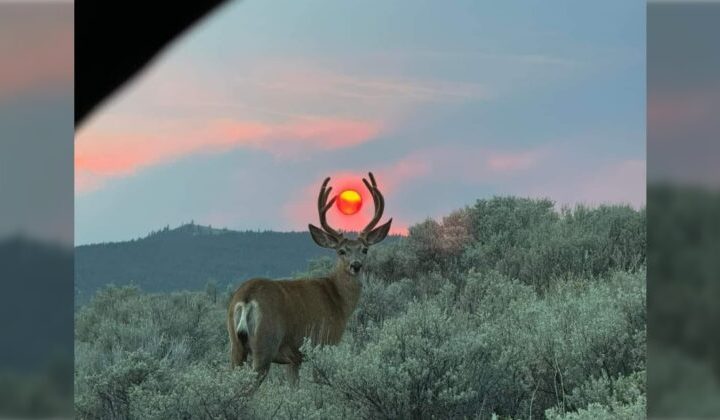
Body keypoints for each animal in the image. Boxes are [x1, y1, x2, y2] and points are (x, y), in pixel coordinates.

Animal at [226, 172, 390, 386]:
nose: (356, 265)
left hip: (236, 346)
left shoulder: (293, 358)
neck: (337, 300)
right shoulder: (325, 343)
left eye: (364, 249)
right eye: (341, 251)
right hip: (265, 344)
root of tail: (246, 298)